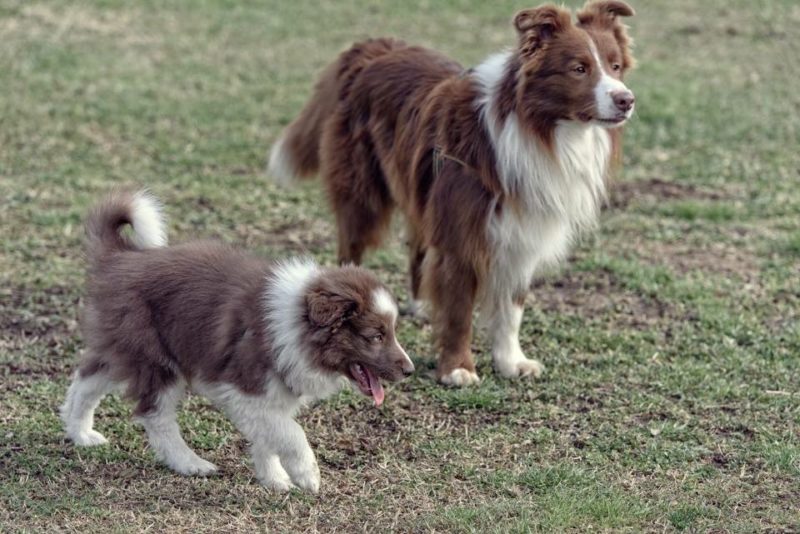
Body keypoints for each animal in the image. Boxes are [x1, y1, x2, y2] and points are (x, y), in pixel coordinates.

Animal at [61, 192, 412, 494]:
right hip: (156, 357)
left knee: (87, 380)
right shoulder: (243, 388)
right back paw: (190, 463)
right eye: (376, 336)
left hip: (123, 346)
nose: (409, 371)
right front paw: (306, 475)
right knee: (155, 416)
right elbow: (290, 432)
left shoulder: (272, 393)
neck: (297, 322)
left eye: (393, 332)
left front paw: (274, 479)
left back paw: (80, 432)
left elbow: (268, 436)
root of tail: (121, 257)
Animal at [268, 0, 636, 388]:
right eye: (579, 69)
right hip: (362, 190)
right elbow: (459, 311)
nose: (626, 100)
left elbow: (511, 309)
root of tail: (372, 48)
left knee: (417, 247)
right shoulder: (462, 232)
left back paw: (420, 305)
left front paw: (511, 362)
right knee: (350, 248)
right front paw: (458, 369)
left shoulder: (522, 233)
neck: (539, 130)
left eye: (615, 66)